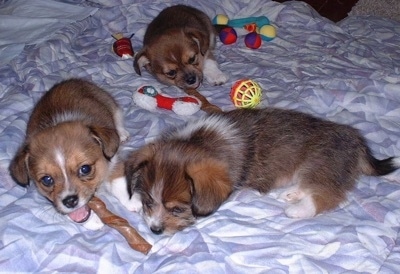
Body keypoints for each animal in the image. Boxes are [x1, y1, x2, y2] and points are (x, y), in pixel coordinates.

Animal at [9, 78, 130, 229]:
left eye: (85, 169)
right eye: (47, 180)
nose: (70, 201)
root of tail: (71, 80)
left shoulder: (114, 160)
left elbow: (117, 180)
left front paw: (132, 202)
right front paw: (93, 222)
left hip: (111, 105)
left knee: (117, 119)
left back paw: (122, 134)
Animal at [123, 107, 398, 233]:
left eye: (177, 210)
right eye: (149, 202)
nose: (155, 230)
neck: (197, 141)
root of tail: (356, 139)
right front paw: (133, 201)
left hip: (321, 166)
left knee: (327, 194)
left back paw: (297, 209)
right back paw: (292, 194)